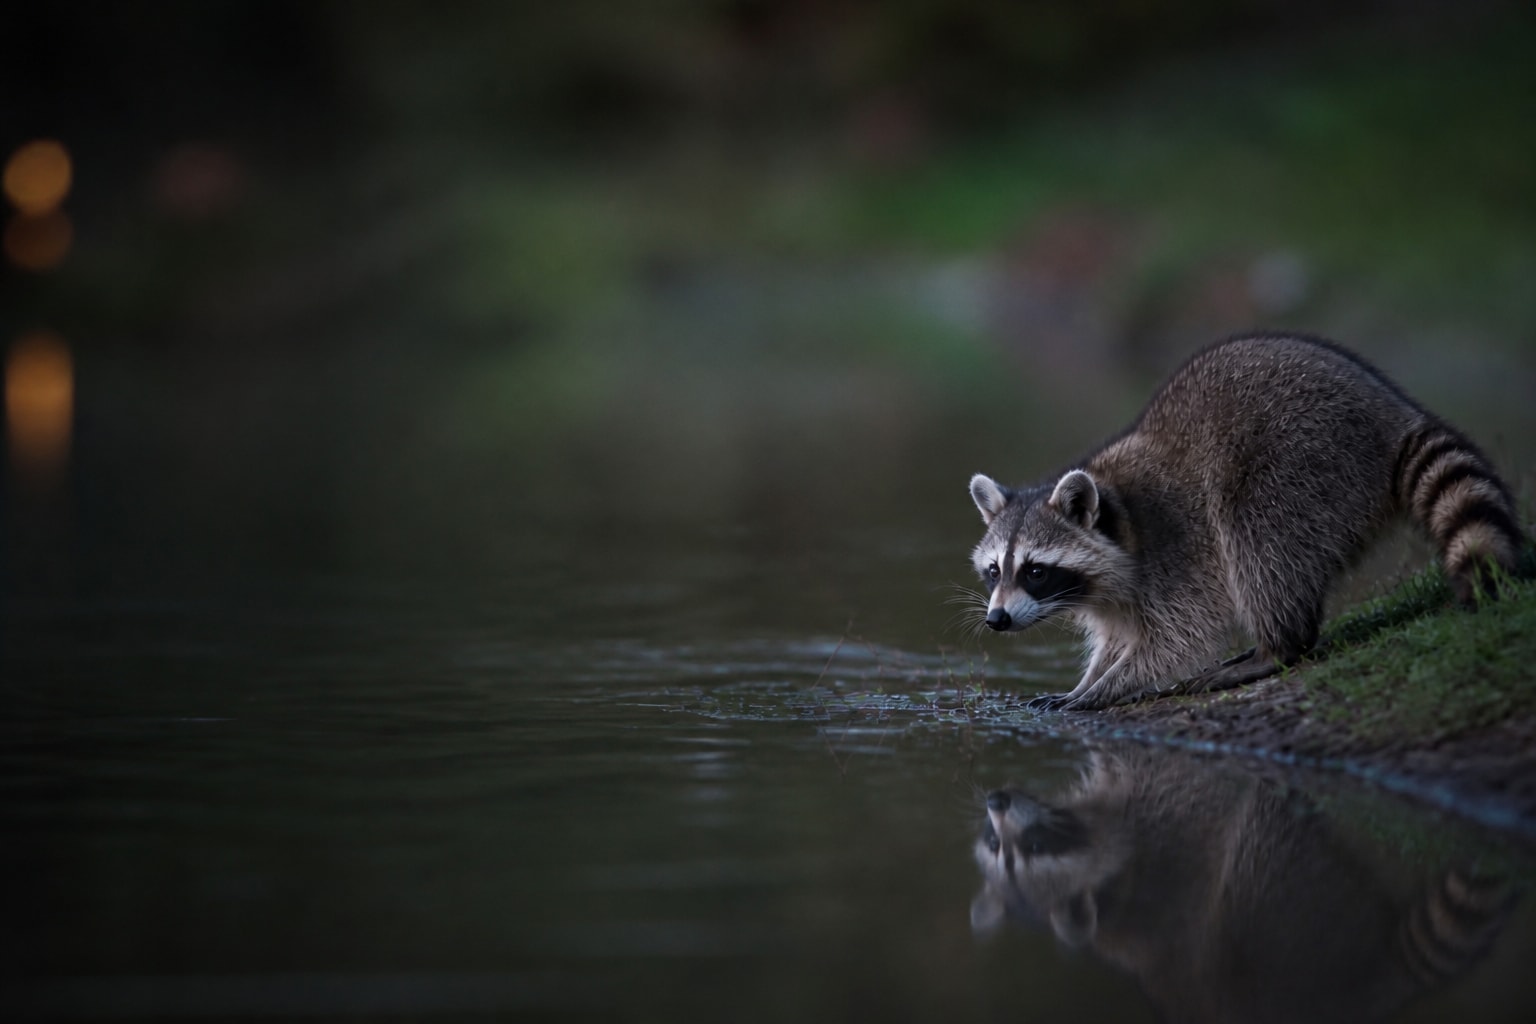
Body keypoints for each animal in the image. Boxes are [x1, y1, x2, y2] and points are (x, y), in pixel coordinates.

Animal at [967, 333, 1525, 710]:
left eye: (1035, 571)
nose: (997, 620)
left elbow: (1178, 638)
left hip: (1300, 463)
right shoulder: (1115, 593)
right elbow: (1117, 637)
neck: (1117, 511)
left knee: (1259, 542)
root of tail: (1392, 417)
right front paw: (1089, 679)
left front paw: (1104, 689)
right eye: (995, 571)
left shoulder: (1176, 551)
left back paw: (1277, 647)